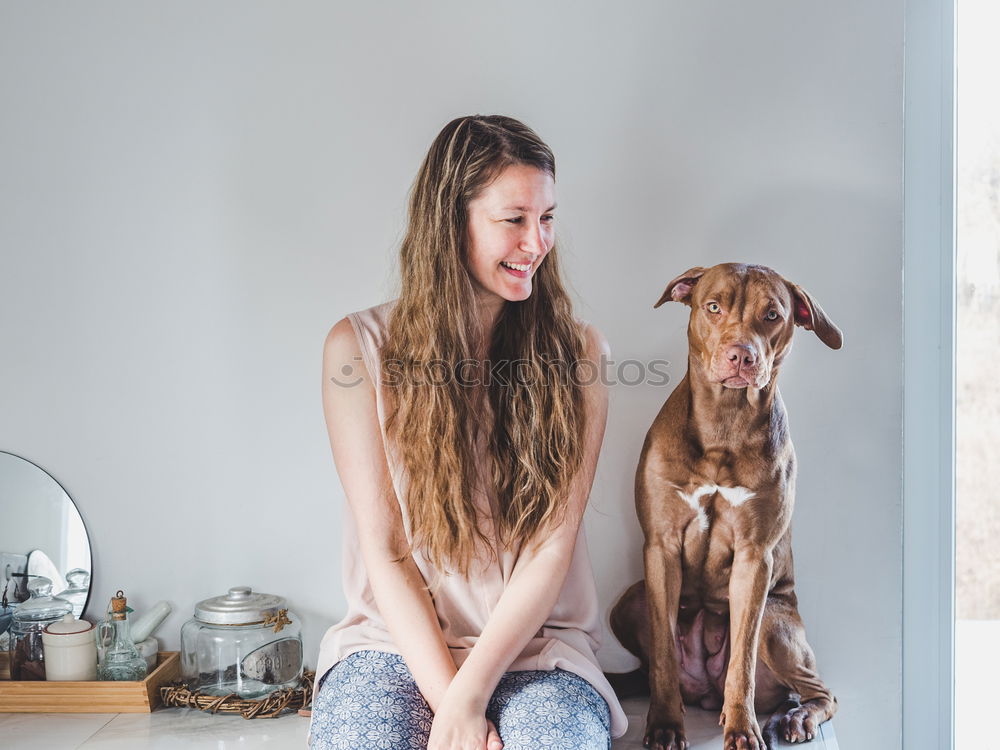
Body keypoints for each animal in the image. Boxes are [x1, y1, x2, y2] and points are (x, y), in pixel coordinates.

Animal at [608, 264, 844, 750]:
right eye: (713, 306)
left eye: (773, 315)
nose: (741, 356)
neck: (725, 422)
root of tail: (704, 693)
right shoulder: (660, 546)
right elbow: (663, 655)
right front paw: (663, 725)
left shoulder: (755, 559)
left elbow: (742, 662)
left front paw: (741, 727)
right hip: (627, 600)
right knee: (651, 664)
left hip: (775, 621)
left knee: (819, 691)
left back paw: (797, 717)